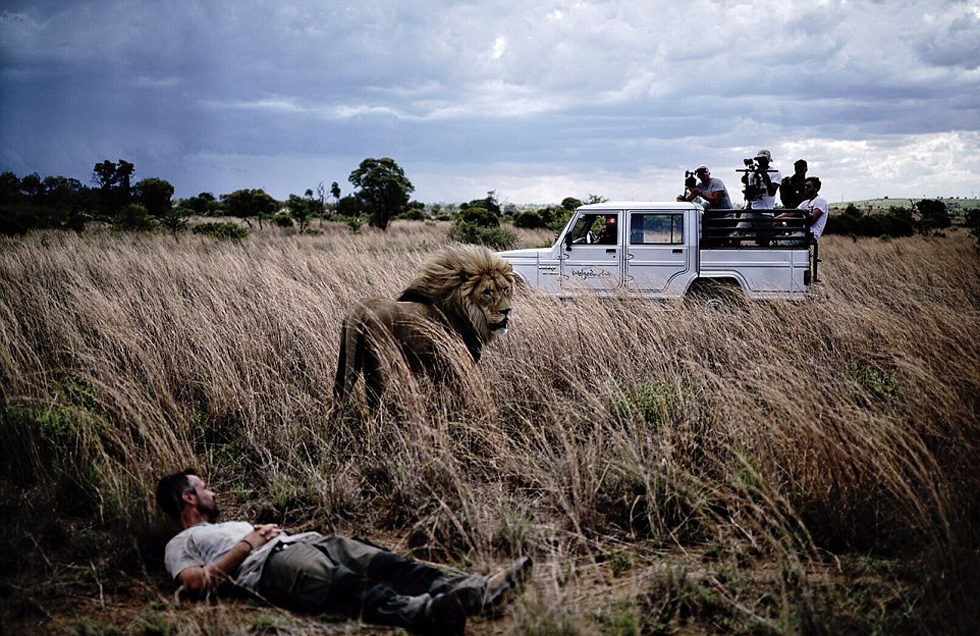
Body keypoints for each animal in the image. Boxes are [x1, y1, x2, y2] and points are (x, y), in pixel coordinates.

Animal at [334, 245, 516, 408]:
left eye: (505, 289)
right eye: (487, 292)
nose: (506, 311)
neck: (466, 314)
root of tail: (359, 311)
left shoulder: (437, 371)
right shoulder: (454, 367)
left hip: (345, 361)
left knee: (338, 393)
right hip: (379, 367)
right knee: (373, 403)